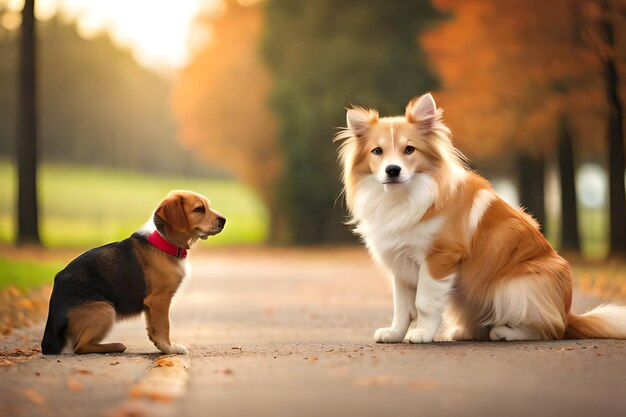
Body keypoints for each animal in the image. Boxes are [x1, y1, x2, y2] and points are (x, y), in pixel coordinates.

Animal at [40, 190, 224, 352]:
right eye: (199, 209)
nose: (224, 220)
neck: (163, 242)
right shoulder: (159, 300)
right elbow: (164, 326)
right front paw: (170, 348)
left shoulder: (150, 304)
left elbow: (154, 329)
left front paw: (160, 346)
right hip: (105, 309)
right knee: (80, 347)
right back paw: (116, 346)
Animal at [336, 93, 624, 342]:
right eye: (377, 152)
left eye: (409, 150)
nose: (392, 170)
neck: (405, 197)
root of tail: (567, 312)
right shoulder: (401, 265)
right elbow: (402, 306)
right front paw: (395, 333)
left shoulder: (439, 258)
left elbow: (424, 303)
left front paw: (421, 334)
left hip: (515, 287)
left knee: (550, 329)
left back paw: (505, 332)